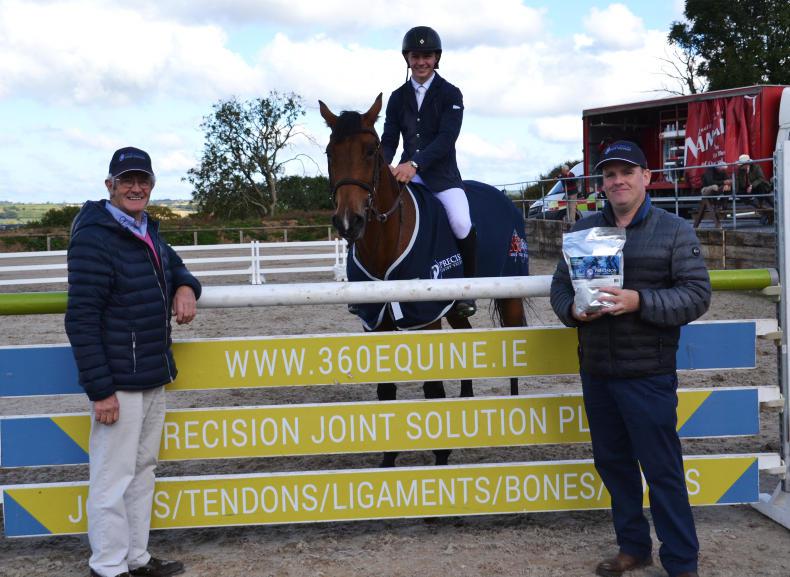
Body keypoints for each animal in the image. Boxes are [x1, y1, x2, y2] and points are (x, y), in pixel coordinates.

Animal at [319, 94, 528, 467]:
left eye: (371, 150)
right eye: (330, 152)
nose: (348, 222)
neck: (386, 239)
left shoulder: (423, 317)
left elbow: (432, 387)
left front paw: (441, 456)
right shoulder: (376, 321)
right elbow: (386, 389)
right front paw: (388, 459)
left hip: (511, 291)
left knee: (514, 340)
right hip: (455, 307)